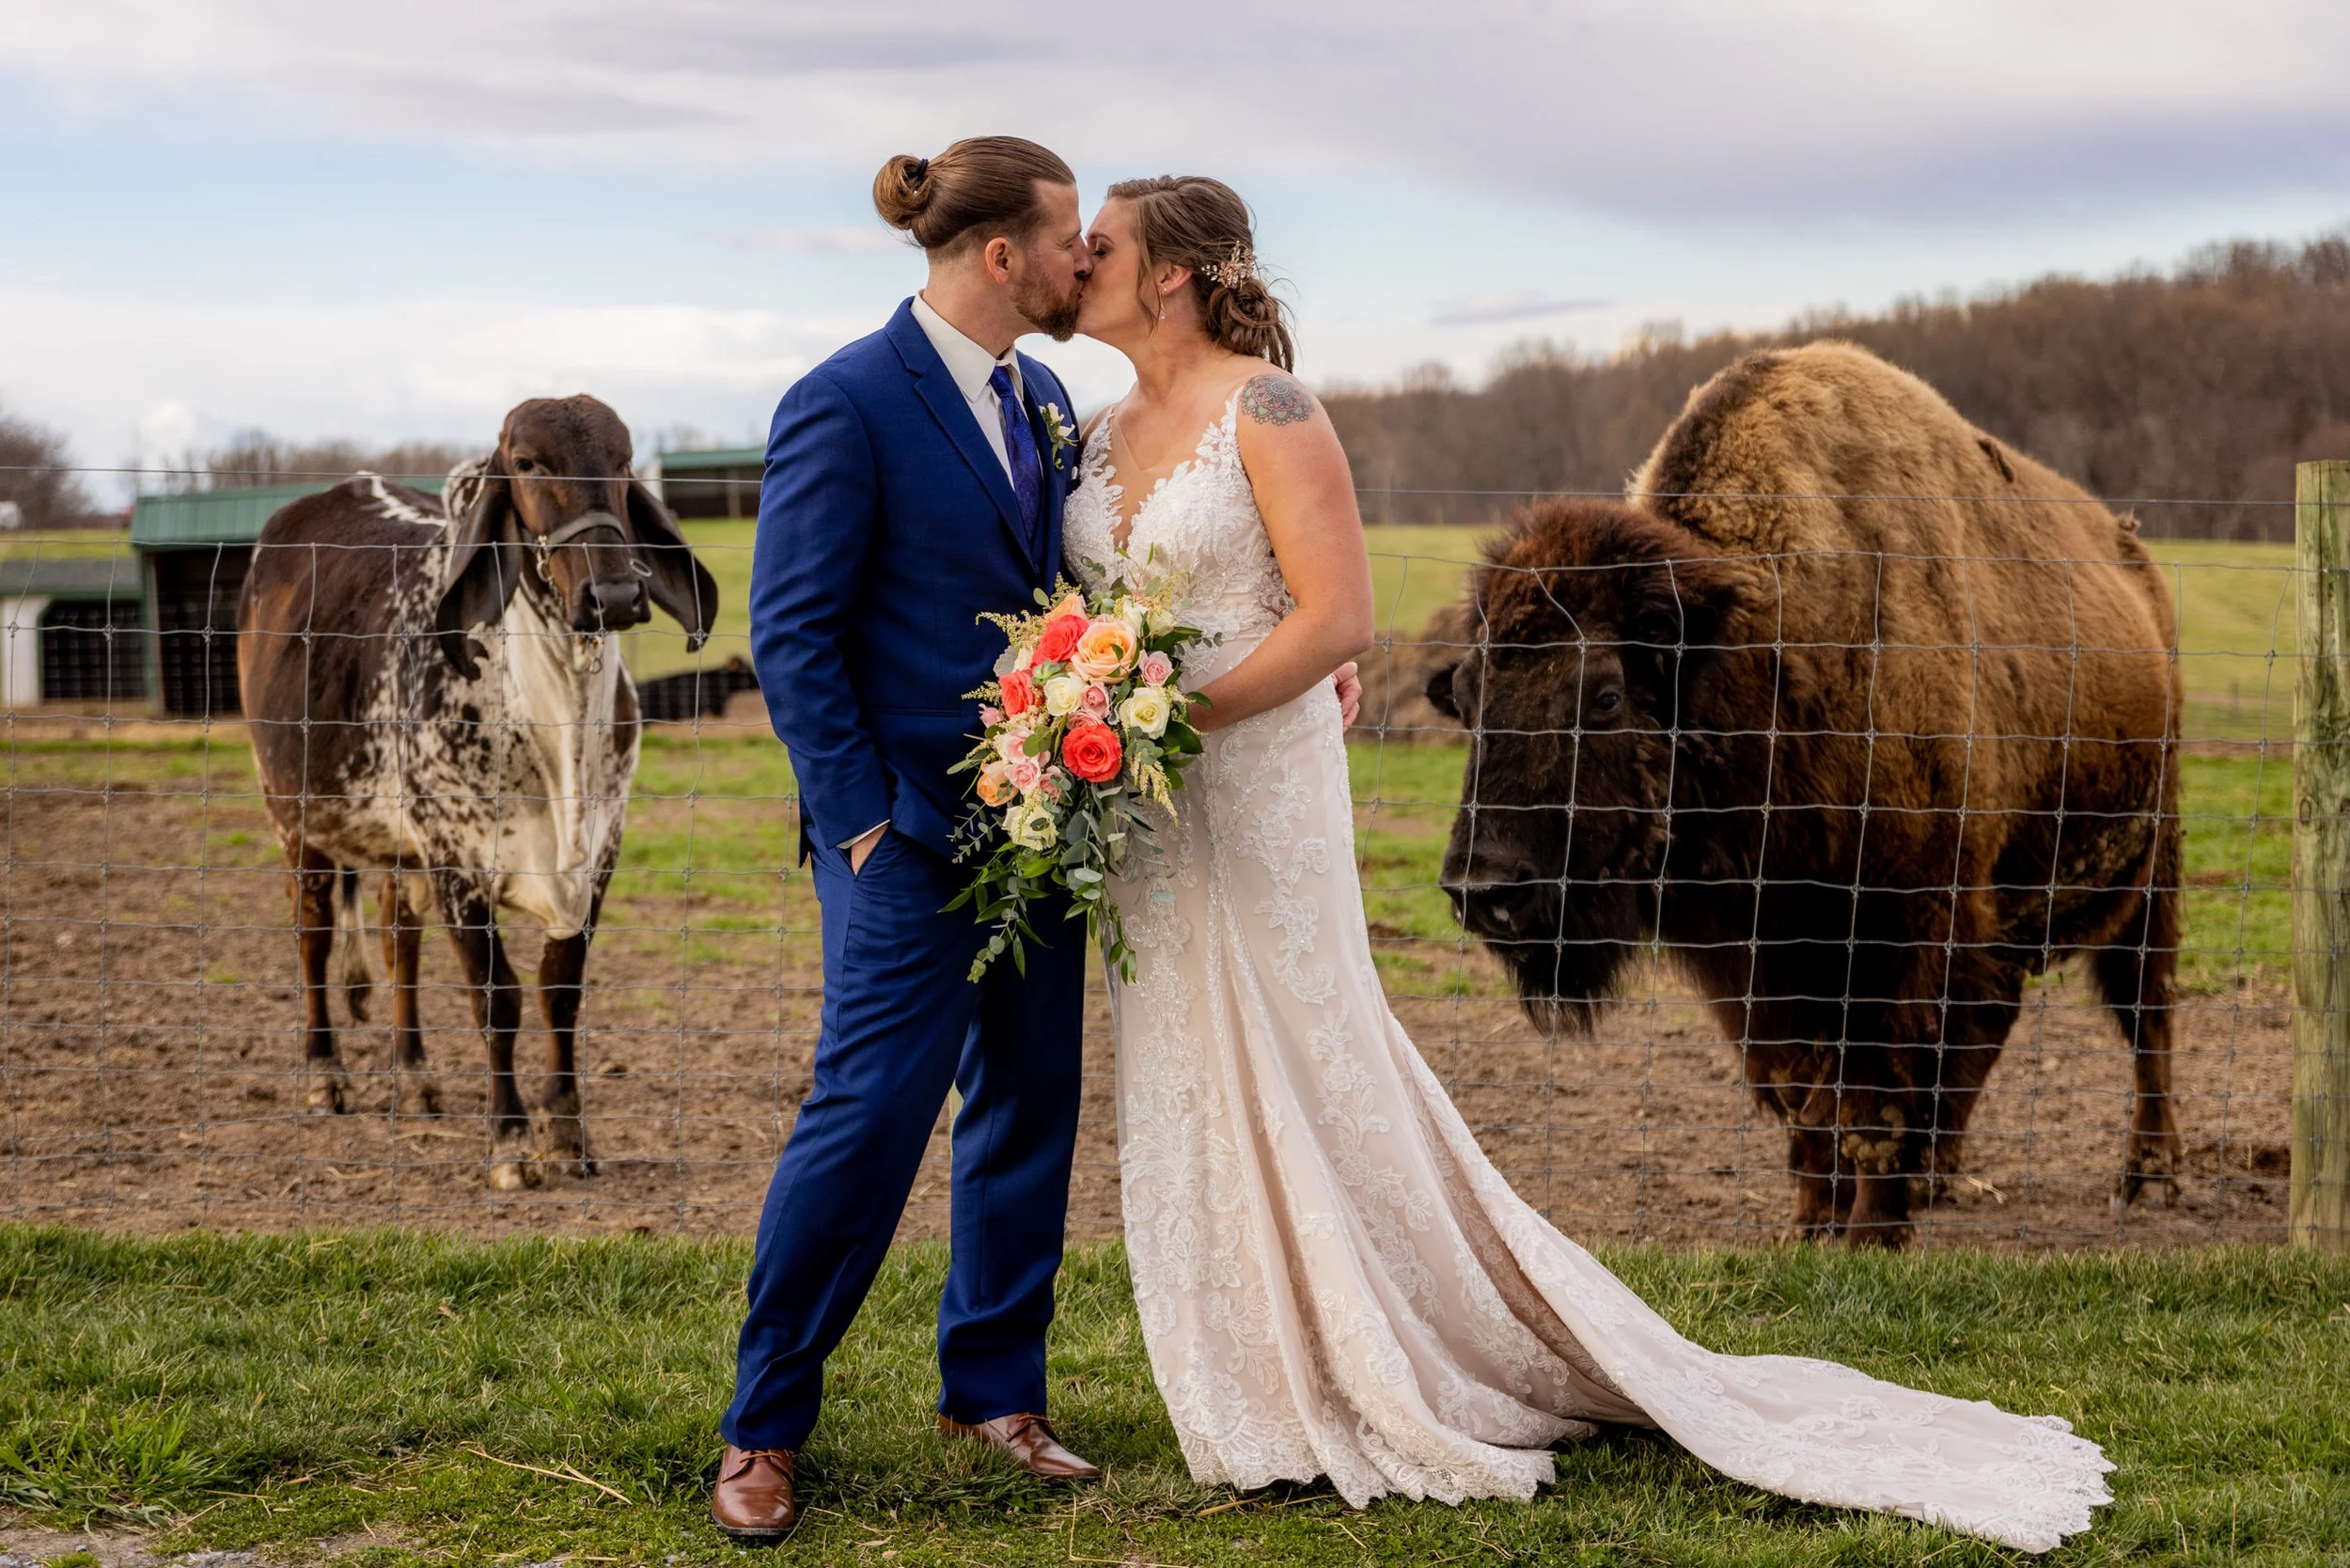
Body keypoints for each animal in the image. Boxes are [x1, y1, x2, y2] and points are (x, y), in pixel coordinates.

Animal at [236, 395, 717, 1189]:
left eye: (623, 462)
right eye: (527, 463)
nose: (615, 594)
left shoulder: (598, 857)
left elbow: (559, 993)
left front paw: (567, 1132)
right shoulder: (457, 860)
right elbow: (499, 1000)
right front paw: (511, 1141)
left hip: (398, 850)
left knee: (399, 943)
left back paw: (416, 1077)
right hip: (294, 818)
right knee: (313, 935)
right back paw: (326, 1074)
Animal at [1428, 342, 2182, 1246]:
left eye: (1605, 696)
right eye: (1465, 698)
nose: (1484, 889)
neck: (1762, 651)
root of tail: (2138, 567)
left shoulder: (1899, 930)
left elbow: (1873, 1088)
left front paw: (1872, 1234)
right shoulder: (1752, 956)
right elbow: (1804, 1091)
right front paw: (1815, 1221)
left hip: (2152, 862)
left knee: (2145, 1014)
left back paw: (2147, 1177)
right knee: (1993, 1021)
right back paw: (1941, 1173)